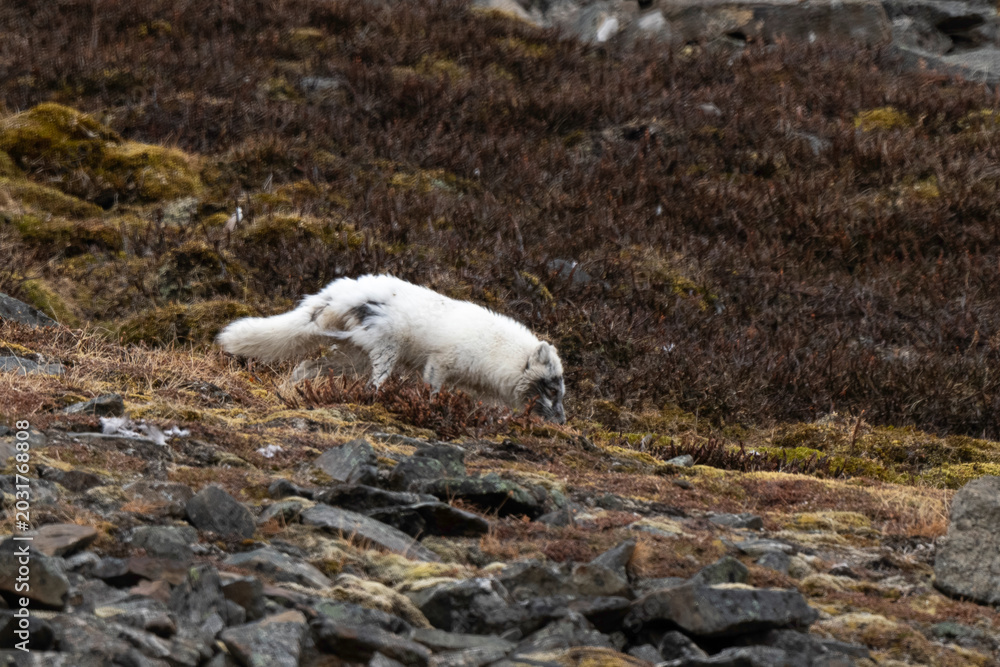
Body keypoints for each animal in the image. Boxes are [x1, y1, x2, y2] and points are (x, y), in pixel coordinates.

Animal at [216, 274, 567, 423]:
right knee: (373, 383)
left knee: (305, 368)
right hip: (385, 350)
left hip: (351, 357)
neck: (496, 351)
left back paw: (291, 392)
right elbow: (432, 390)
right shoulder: (440, 363)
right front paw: (431, 409)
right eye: (551, 389)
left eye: (560, 391)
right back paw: (375, 399)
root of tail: (336, 294)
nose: (563, 422)